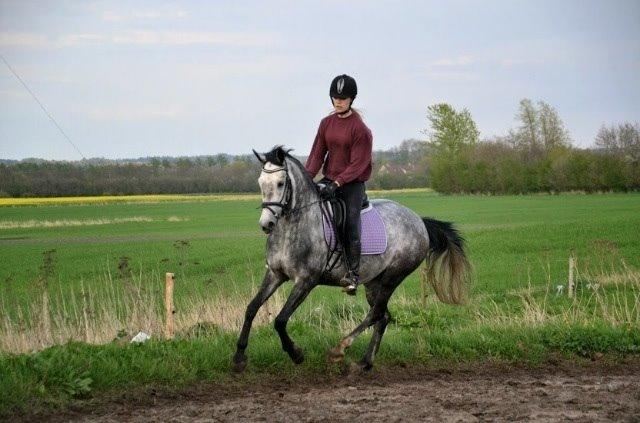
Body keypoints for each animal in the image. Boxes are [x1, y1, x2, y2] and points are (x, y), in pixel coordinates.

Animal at [232, 147, 472, 372]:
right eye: (260, 183)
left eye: (281, 183)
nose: (266, 224)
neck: (294, 226)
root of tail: (419, 221)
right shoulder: (275, 274)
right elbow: (252, 308)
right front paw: (239, 357)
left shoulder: (306, 281)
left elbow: (280, 320)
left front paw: (296, 353)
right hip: (374, 282)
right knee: (383, 317)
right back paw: (365, 362)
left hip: (392, 277)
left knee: (375, 314)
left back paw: (340, 349)